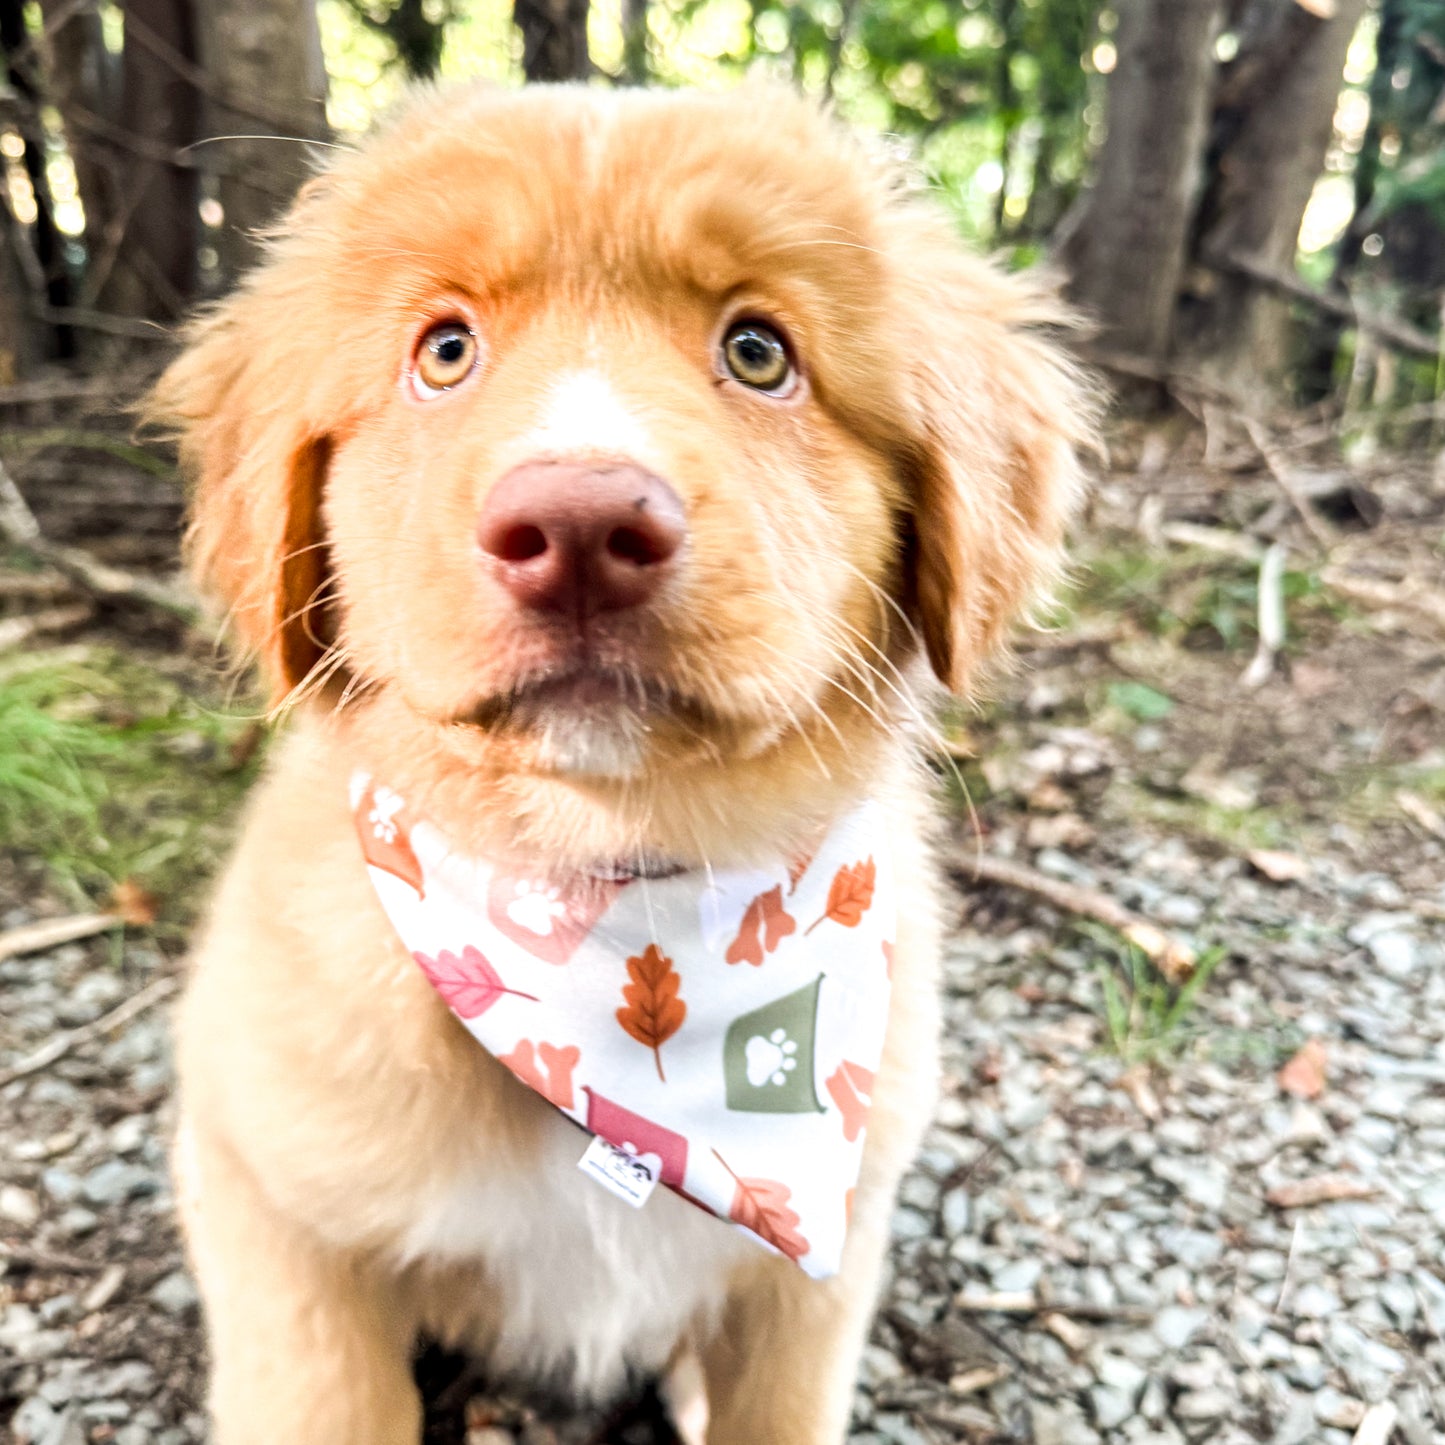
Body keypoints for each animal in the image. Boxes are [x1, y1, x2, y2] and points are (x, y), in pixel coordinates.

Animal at [155, 84, 1086, 1439]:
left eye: (758, 351)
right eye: (444, 350)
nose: (580, 527)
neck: (601, 891)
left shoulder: (818, 1273)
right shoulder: (271, 1204)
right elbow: (322, 1395)